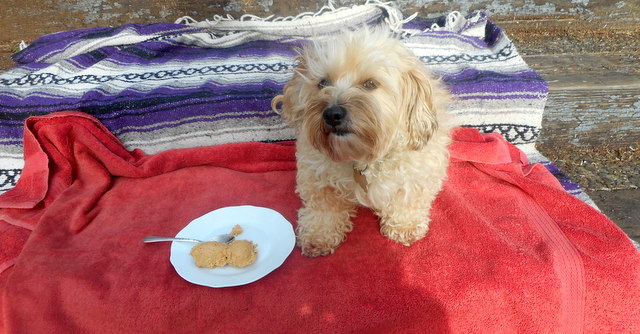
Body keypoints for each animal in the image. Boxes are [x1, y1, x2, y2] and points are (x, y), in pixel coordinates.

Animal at [272, 27, 452, 258]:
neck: (362, 158)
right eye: (323, 82)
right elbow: (323, 206)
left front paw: (405, 226)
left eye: (370, 84)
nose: (332, 114)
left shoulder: (418, 175)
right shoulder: (316, 175)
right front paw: (319, 234)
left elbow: (407, 200)